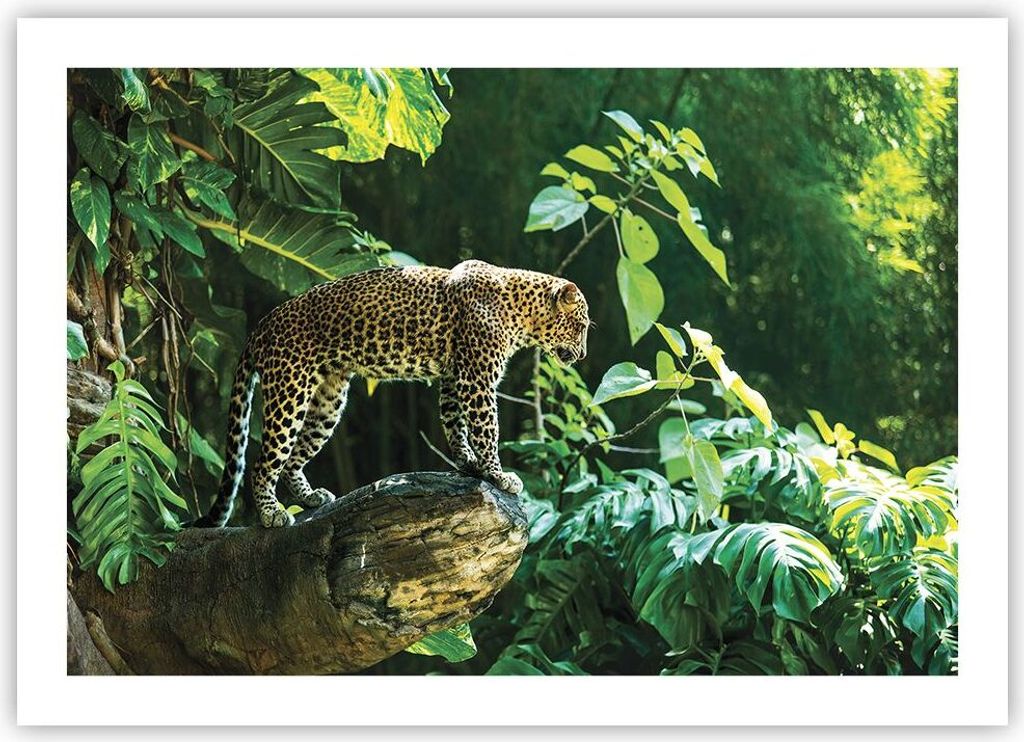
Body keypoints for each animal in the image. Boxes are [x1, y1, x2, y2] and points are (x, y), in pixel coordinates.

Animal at [193, 259, 590, 528]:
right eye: (581, 325)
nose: (584, 354)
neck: (521, 311)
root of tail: (261, 324)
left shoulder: (454, 377)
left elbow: (455, 425)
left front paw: (468, 464)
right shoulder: (477, 379)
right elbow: (486, 429)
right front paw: (498, 474)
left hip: (328, 400)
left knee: (292, 459)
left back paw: (310, 498)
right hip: (289, 390)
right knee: (264, 461)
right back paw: (271, 513)